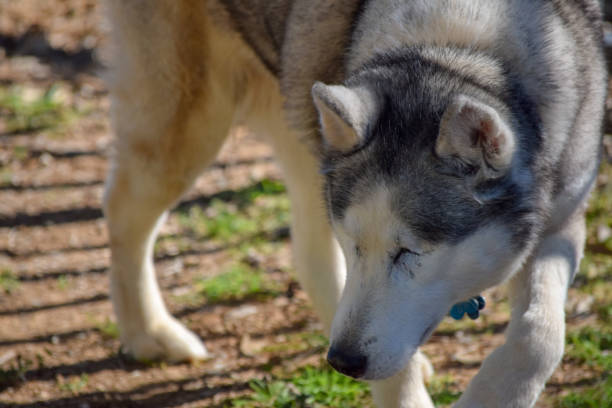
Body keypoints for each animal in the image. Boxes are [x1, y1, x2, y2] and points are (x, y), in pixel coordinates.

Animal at [103, 0, 604, 408]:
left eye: (411, 252)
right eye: (355, 243)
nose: (342, 361)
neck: (454, 50)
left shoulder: (559, 223)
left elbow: (539, 336)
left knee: (308, 254)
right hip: (186, 129)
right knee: (123, 213)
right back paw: (149, 333)